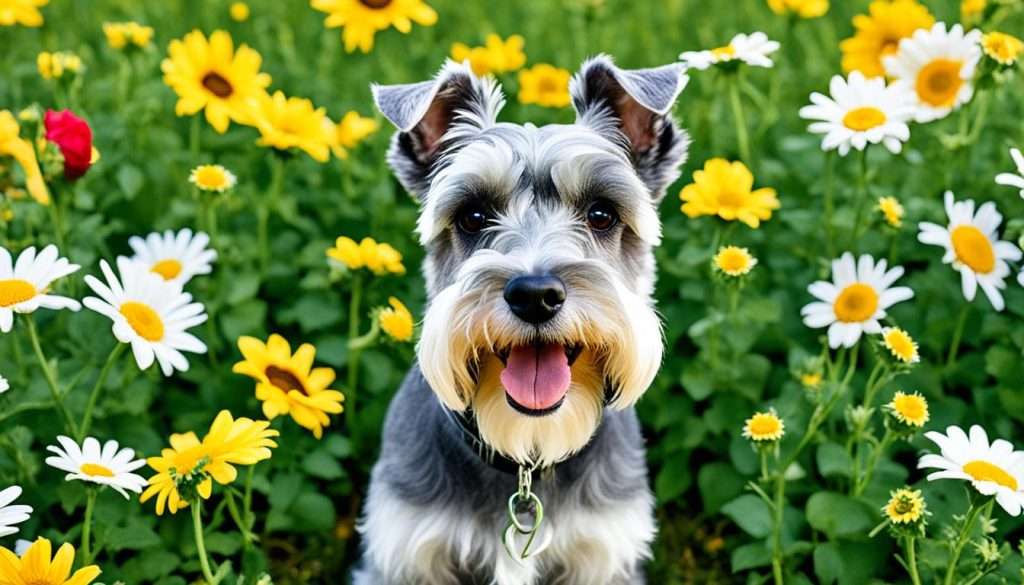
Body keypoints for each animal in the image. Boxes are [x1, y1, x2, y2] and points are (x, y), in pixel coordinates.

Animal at [356, 54, 692, 585]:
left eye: (601, 213)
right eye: (472, 216)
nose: (535, 295)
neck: (526, 459)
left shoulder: (602, 556)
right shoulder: (405, 557)